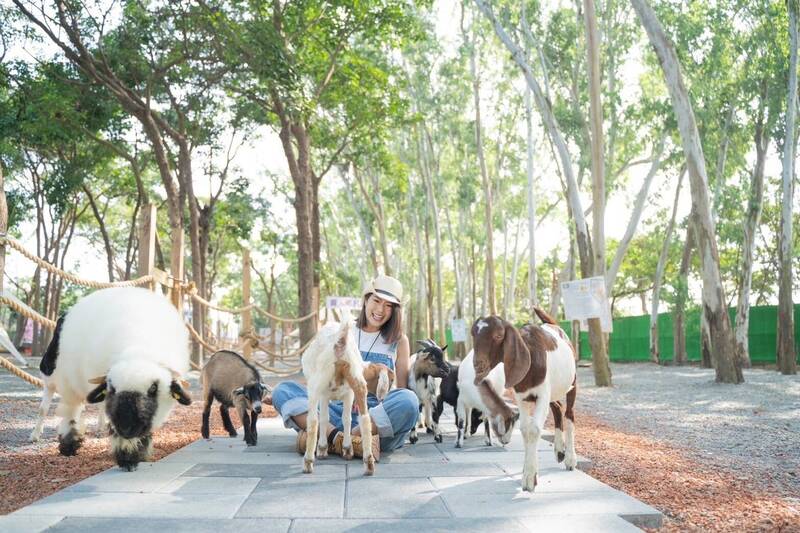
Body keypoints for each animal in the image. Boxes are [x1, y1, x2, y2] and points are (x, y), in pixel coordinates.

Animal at [38, 286, 194, 470]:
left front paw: (138, 454)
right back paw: (68, 444)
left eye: (153, 388)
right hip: (65, 380)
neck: (138, 350)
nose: (126, 427)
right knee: (70, 410)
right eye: (112, 388)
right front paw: (127, 459)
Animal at [300, 318, 376, 476]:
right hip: (357, 379)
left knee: (313, 420)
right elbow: (346, 418)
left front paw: (322, 448)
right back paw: (369, 463)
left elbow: (324, 418)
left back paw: (308, 462)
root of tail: (341, 340)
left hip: (316, 383)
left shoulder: (323, 394)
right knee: (364, 418)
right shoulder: (348, 394)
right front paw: (347, 448)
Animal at [472, 308, 580, 490]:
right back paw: (559, 451)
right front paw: (527, 472)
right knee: (557, 407)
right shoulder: (522, 397)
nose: (477, 364)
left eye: (498, 335)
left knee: (569, 414)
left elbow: (534, 429)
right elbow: (524, 429)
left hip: (572, 382)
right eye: (473, 334)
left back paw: (570, 459)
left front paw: (529, 479)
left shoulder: (542, 395)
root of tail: (553, 324)